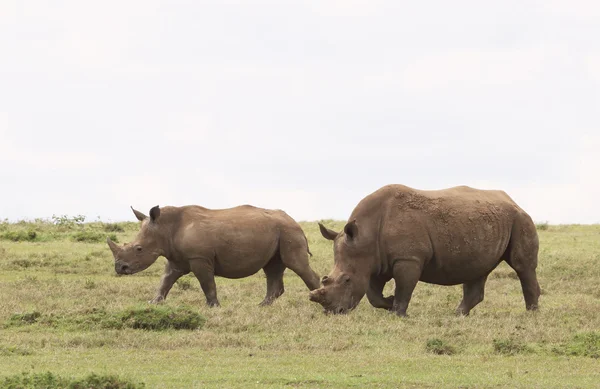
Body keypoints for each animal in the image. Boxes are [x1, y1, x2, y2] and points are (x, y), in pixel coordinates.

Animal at [105, 205, 322, 308]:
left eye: (139, 249)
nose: (120, 268)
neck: (165, 227)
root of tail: (294, 220)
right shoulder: (176, 258)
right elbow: (165, 280)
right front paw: (154, 303)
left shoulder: (199, 257)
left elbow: (206, 283)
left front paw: (213, 307)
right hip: (279, 231)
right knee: (272, 268)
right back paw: (261, 306)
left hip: (288, 231)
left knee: (296, 264)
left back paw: (318, 302)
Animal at [312, 185, 540, 316]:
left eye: (346, 280)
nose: (333, 312)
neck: (365, 236)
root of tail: (513, 201)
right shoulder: (375, 261)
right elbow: (373, 295)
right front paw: (389, 303)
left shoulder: (408, 258)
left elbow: (404, 288)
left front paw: (397, 313)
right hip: (488, 224)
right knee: (477, 269)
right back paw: (458, 315)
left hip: (520, 219)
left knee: (522, 266)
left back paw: (531, 315)